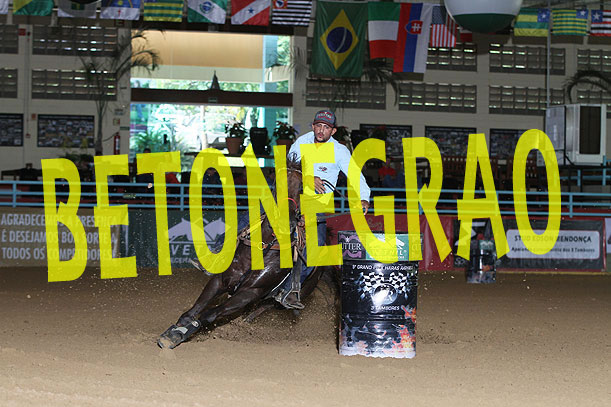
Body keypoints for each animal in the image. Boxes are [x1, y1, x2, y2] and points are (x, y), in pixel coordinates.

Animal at [158, 159, 322, 349]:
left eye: (302, 187)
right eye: (276, 183)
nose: (285, 223)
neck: (262, 248)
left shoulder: (249, 293)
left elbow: (209, 315)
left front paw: (180, 334)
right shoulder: (220, 280)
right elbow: (194, 310)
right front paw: (172, 331)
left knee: (262, 308)